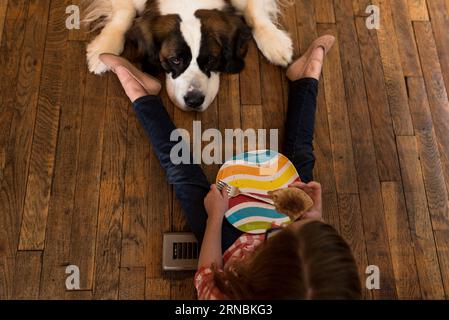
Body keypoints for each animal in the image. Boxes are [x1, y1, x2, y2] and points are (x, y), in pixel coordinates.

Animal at [83, 0, 294, 111]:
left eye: (211, 60)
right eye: (175, 60)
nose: (194, 101)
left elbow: (253, 11)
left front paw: (274, 41)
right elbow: (124, 13)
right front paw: (105, 47)